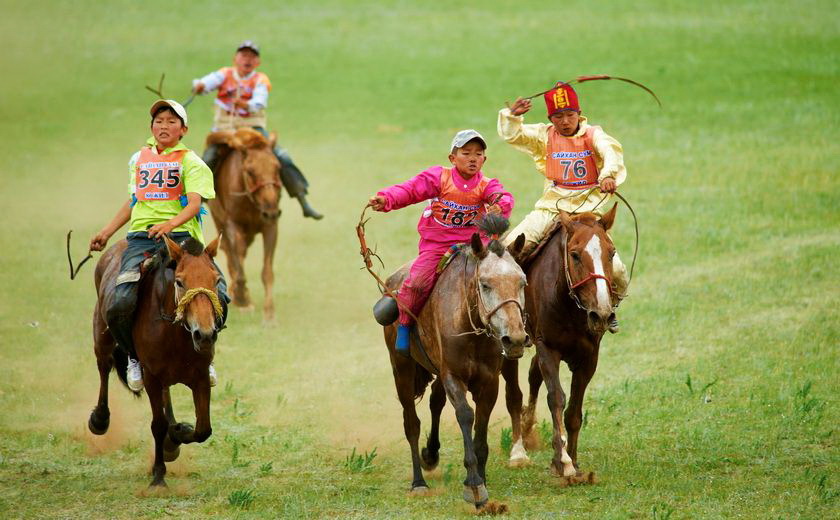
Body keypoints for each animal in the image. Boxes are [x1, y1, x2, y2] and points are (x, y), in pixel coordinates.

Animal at [87, 234, 224, 487]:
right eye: (179, 282)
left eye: (216, 280)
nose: (205, 334)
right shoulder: (151, 377)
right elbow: (157, 425)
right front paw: (158, 476)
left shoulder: (200, 377)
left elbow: (203, 429)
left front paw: (177, 434)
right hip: (102, 330)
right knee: (104, 365)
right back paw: (100, 419)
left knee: (165, 393)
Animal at [206, 127, 282, 321]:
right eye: (250, 171)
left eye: (277, 168)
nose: (271, 211)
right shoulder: (233, 226)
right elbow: (238, 267)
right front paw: (242, 299)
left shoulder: (270, 226)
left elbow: (267, 272)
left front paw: (269, 314)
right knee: (231, 256)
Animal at [383, 216, 532, 508]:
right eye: (485, 284)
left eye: (522, 283)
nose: (515, 339)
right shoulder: (453, 375)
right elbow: (465, 414)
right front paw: (473, 484)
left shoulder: (488, 381)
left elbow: (481, 425)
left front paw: (481, 480)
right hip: (401, 370)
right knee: (411, 422)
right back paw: (419, 482)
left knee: (435, 401)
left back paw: (431, 454)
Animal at [501, 204, 618, 482]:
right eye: (574, 255)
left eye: (611, 252)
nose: (602, 313)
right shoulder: (548, 348)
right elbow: (556, 397)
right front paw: (562, 461)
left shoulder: (590, 356)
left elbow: (574, 411)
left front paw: (574, 461)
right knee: (515, 392)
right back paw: (520, 447)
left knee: (533, 375)